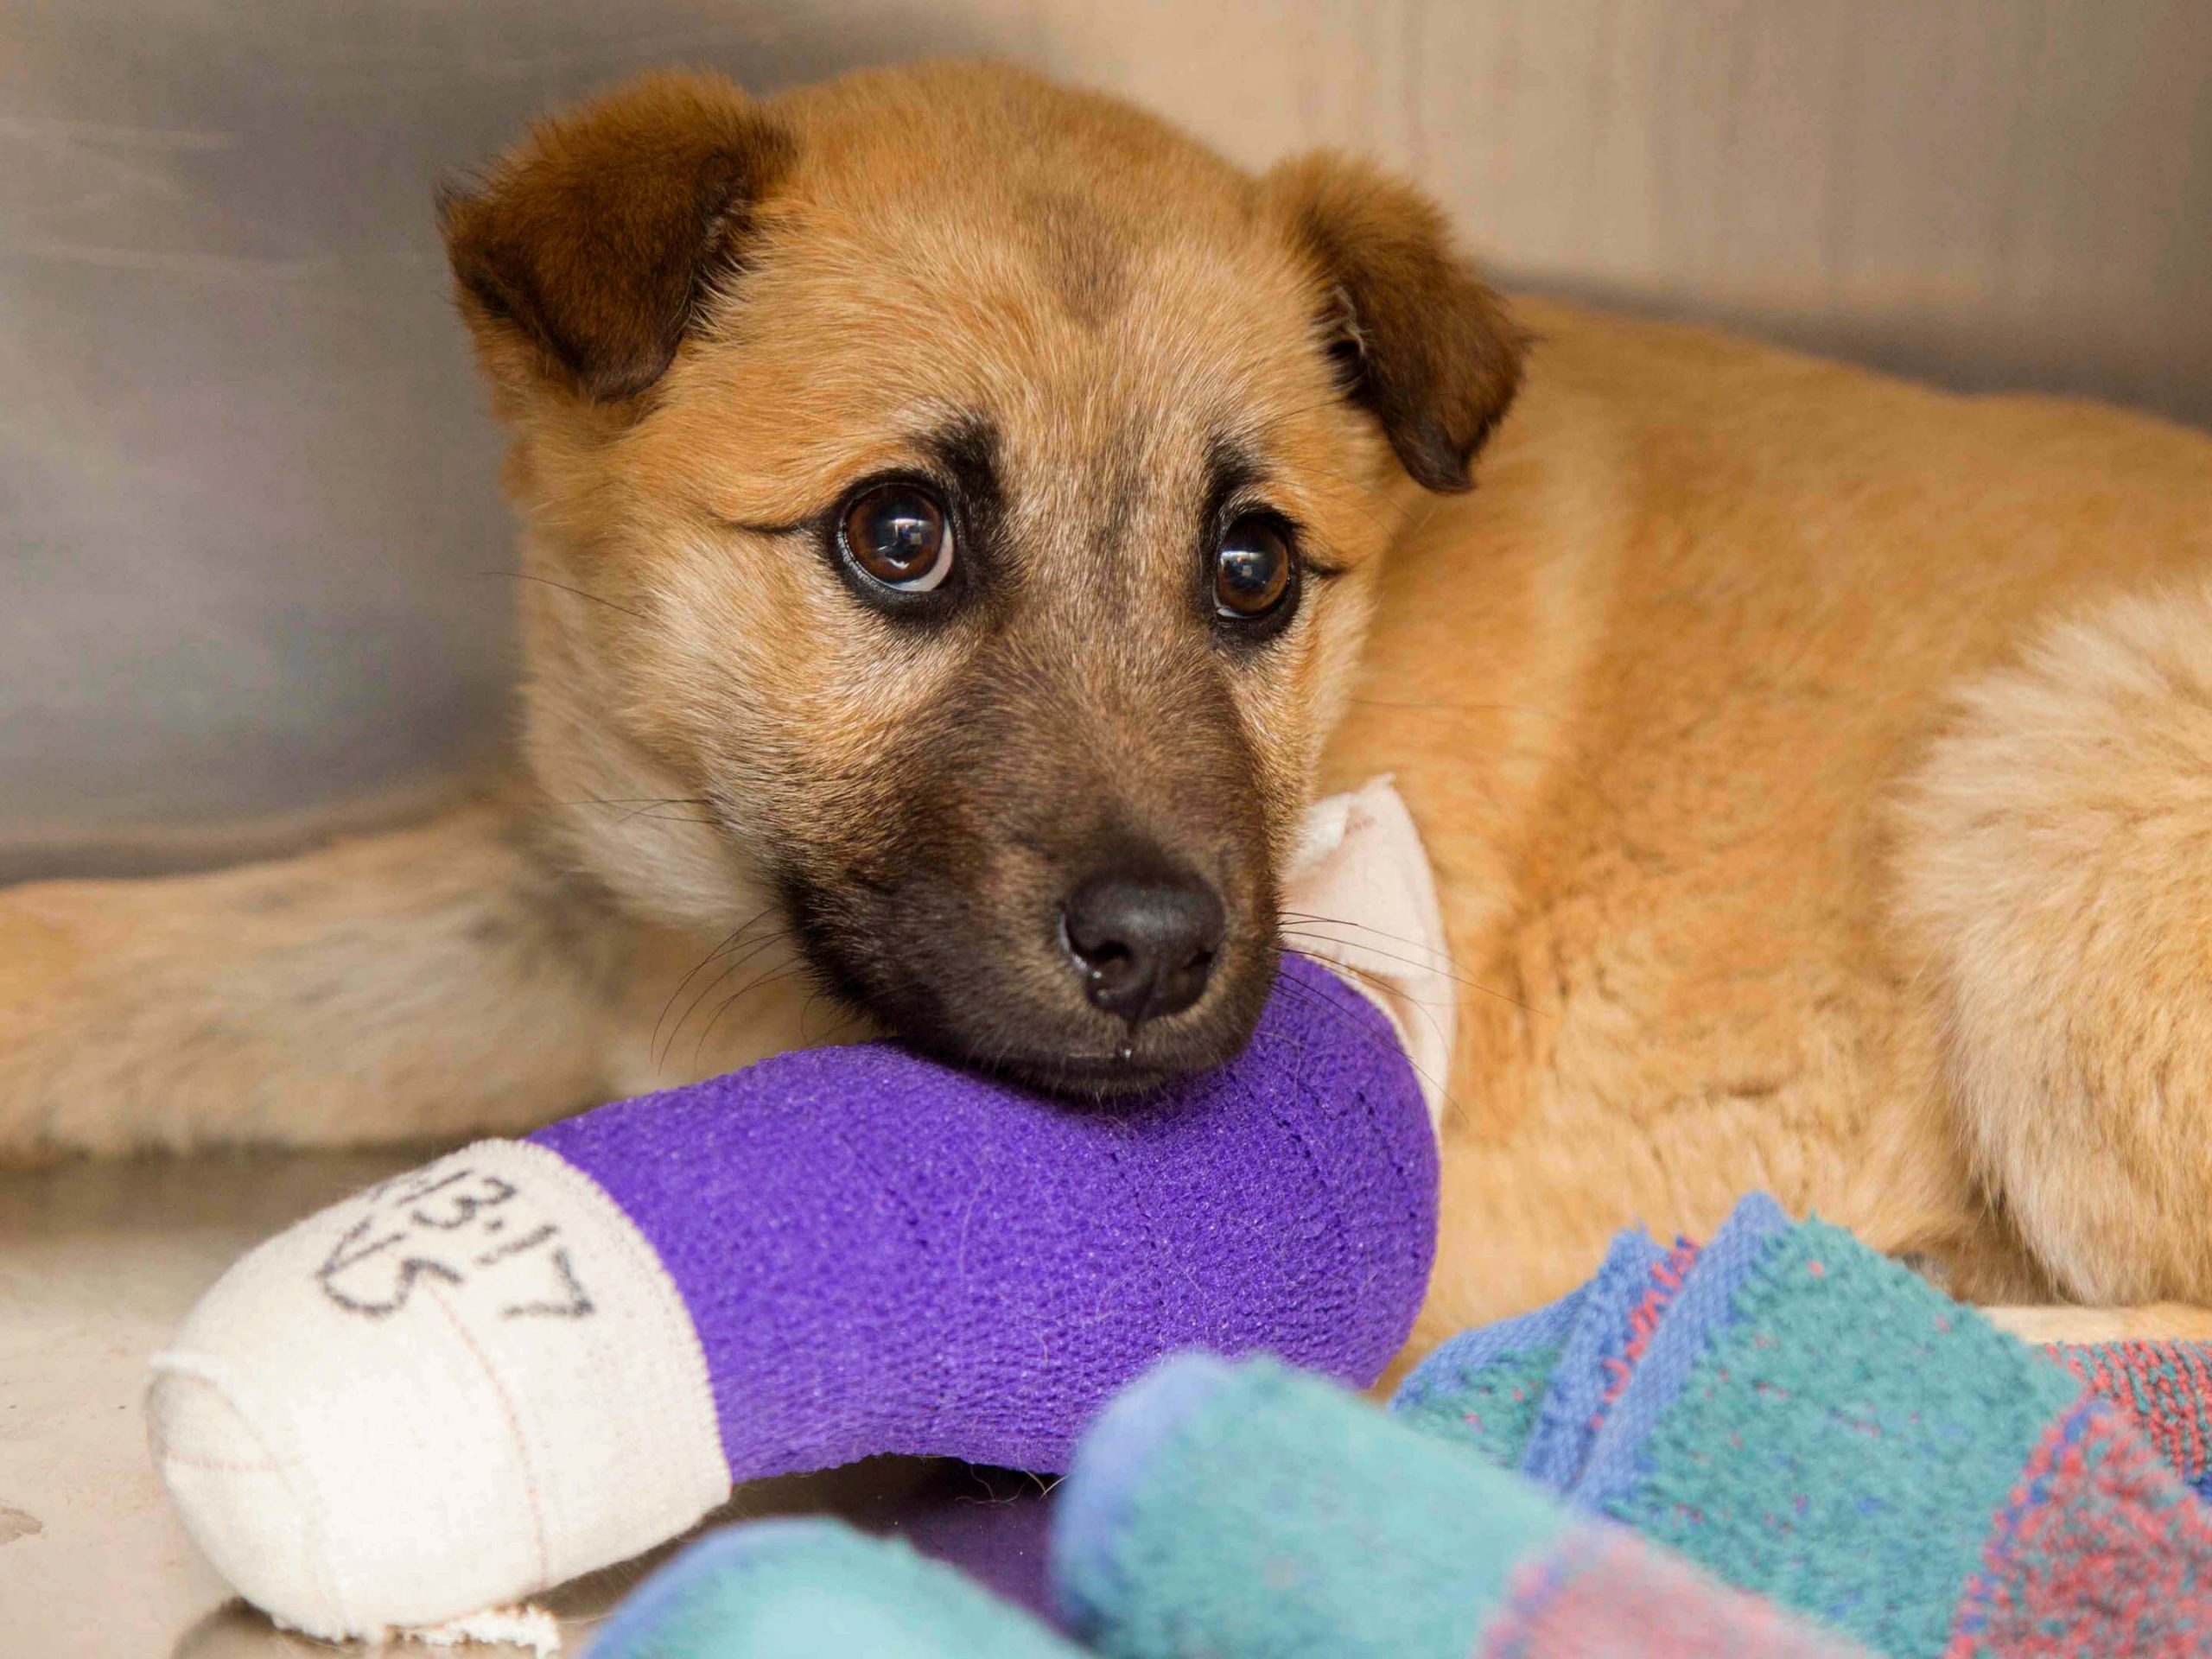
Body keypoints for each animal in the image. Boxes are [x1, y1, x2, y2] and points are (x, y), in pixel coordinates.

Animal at [4, 65, 2212, 1362]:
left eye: (1250, 567)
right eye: (897, 535)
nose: (1157, 957)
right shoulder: (571, 889)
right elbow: (177, 952)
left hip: (2065, 767)